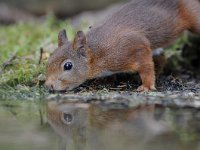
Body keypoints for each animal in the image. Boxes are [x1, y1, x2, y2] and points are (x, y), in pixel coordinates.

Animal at [45, 0, 200, 91]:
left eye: (68, 66)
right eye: (48, 60)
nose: (49, 85)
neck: (97, 53)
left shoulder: (132, 46)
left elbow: (146, 66)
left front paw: (147, 86)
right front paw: (106, 79)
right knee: (161, 58)